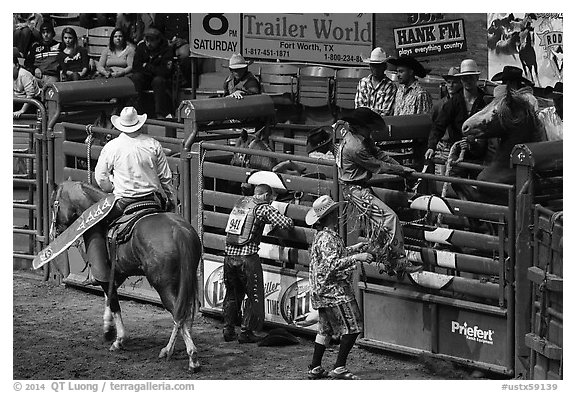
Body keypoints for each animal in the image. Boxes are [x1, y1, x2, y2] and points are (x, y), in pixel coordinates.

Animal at [50, 181, 202, 370]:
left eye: (53, 204)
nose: (54, 231)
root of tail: (179, 231)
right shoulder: (117, 274)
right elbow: (109, 297)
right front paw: (108, 329)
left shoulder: (105, 274)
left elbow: (114, 303)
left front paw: (118, 340)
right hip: (185, 278)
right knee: (184, 313)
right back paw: (173, 350)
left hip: (163, 284)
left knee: (178, 312)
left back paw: (189, 357)